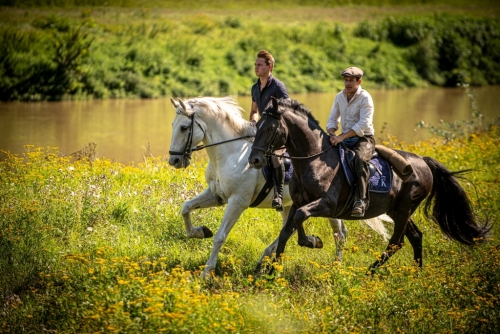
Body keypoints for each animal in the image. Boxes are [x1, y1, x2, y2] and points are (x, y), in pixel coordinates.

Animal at [166, 96, 388, 276]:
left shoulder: (237, 201)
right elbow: (186, 208)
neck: (229, 153)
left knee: (339, 234)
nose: (174, 160)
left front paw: (207, 271)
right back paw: (265, 258)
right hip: (291, 205)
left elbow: (220, 236)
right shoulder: (216, 195)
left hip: (327, 206)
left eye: (184, 127)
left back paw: (335, 267)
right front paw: (200, 231)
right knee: (289, 229)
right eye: (173, 124)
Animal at [248, 97, 490, 272]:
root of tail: (423, 162)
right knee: (415, 237)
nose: (255, 160)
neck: (314, 160)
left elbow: (299, 220)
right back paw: (417, 274)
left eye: (270, 129)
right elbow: (287, 231)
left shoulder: (326, 204)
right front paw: (273, 272)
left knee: (397, 242)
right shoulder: (298, 203)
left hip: (405, 208)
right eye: (257, 125)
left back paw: (371, 272)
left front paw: (313, 242)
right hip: (396, 209)